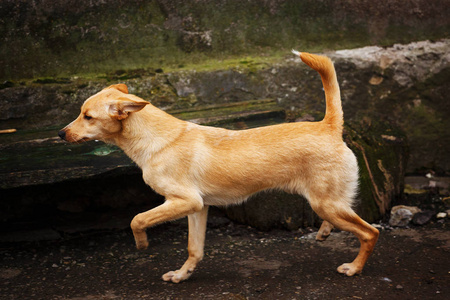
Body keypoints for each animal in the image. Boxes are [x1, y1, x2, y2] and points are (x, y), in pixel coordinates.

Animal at [58, 50, 378, 282]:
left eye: (88, 116)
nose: (61, 134)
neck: (158, 138)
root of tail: (328, 126)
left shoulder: (184, 201)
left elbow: (137, 219)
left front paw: (141, 244)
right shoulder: (198, 208)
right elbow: (194, 248)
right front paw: (182, 274)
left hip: (327, 203)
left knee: (369, 232)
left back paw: (354, 268)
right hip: (328, 203)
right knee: (348, 221)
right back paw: (324, 232)